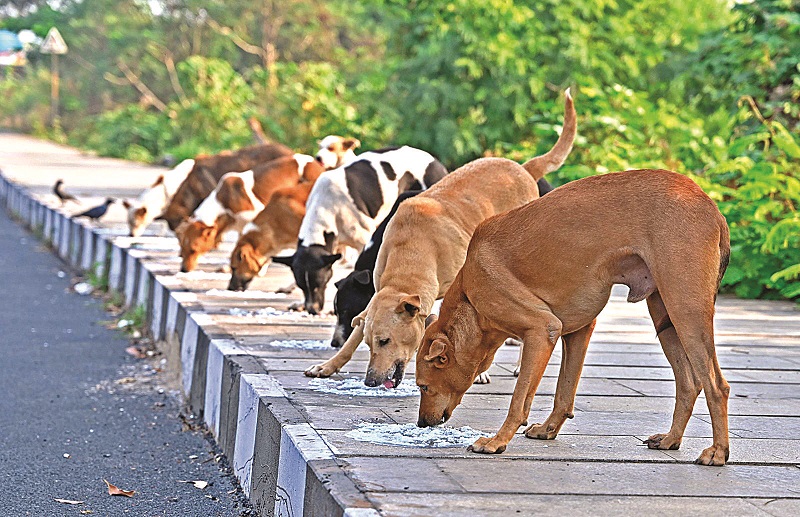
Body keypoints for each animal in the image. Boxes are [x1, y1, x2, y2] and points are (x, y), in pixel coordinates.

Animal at [274, 145, 450, 314]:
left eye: (320, 283)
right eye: (302, 286)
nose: (313, 309)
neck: (324, 207)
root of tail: (435, 161)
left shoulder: (363, 242)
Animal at [304, 90, 576, 384]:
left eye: (386, 341)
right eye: (369, 343)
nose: (370, 381)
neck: (412, 250)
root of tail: (523, 169)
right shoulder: (376, 295)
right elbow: (353, 336)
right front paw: (330, 365)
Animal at [416, 170, 736, 468]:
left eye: (422, 386)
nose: (421, 424)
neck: (470, 293)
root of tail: (710, 207)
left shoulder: (542, 330)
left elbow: (519, 400)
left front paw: (497, 441)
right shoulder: (578, 331)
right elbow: (564, 390)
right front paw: (548, 429)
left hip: (685, 311)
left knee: (716, 385)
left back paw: (718, 452)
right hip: (665, 319)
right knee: (689, 383)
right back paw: (671, 439)